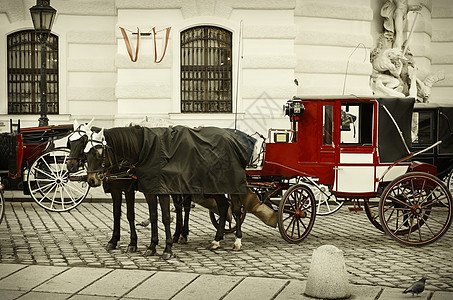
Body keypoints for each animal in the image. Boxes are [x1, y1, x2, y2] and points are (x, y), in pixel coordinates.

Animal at [84, 126, 247, 253]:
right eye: (86, 154)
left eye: (98, 153)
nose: (91, 180)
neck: (144, 150)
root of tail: (232, 138)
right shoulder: (145, 190)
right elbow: (151, 215)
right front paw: (151, 246)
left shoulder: (153, 190)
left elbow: (164, 217)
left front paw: (166, 249)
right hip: (214, 186)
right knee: (223, 206)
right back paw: (216, 240)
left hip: (229, 184)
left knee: (236, 210)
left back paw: (237, 240)